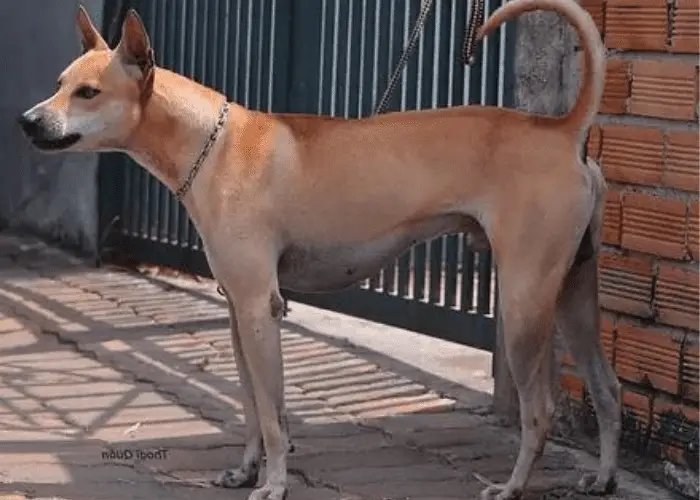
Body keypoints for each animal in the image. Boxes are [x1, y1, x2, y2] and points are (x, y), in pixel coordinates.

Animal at [20, 1, 624, 498]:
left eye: (88, 93)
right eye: (59, 82)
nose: (27, 121)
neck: (211, 143)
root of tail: (562, 131)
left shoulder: (260, 310)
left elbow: (273, 416)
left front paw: (275, 483)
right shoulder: (238, 312)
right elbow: (251, 406)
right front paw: (247, 471)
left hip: (524, 304)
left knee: (539, 411)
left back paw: (513, 486)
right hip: (573, 296)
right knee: (608, 389)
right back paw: (603, 477)